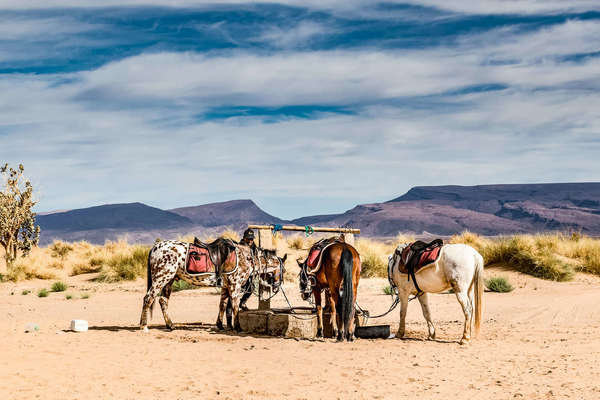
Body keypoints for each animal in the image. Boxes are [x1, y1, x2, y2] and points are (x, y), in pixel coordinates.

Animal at [138, 239, 286, 330]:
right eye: (283, 270)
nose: (277, 287)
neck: (245, 258)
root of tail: (155, 247)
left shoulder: (226, 287)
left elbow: (223, 305)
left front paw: (220, 325)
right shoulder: (235, 287)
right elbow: (235, 307)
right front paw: (238, 327)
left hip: (169, 280)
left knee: (163, 301)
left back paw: (170, 325)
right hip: (161, 278)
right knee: (148, 298)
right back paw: (143, 326)